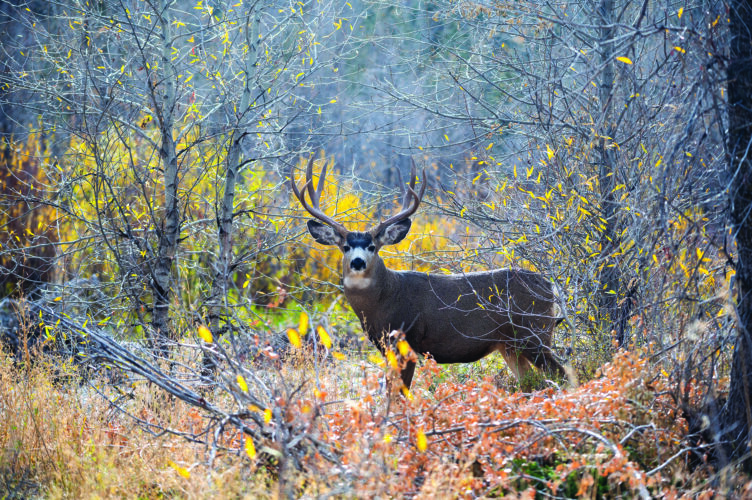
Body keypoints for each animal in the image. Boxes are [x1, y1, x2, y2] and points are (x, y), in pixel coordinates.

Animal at [291, 156, 566, 389]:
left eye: (372, 246)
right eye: (346, 246)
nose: (358, 262)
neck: (386, 300)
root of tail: (548, 285)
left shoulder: (408, 340)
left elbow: (399, 393)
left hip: (534, 333)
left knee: (562, 374)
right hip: (509, 345)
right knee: (530, 382)